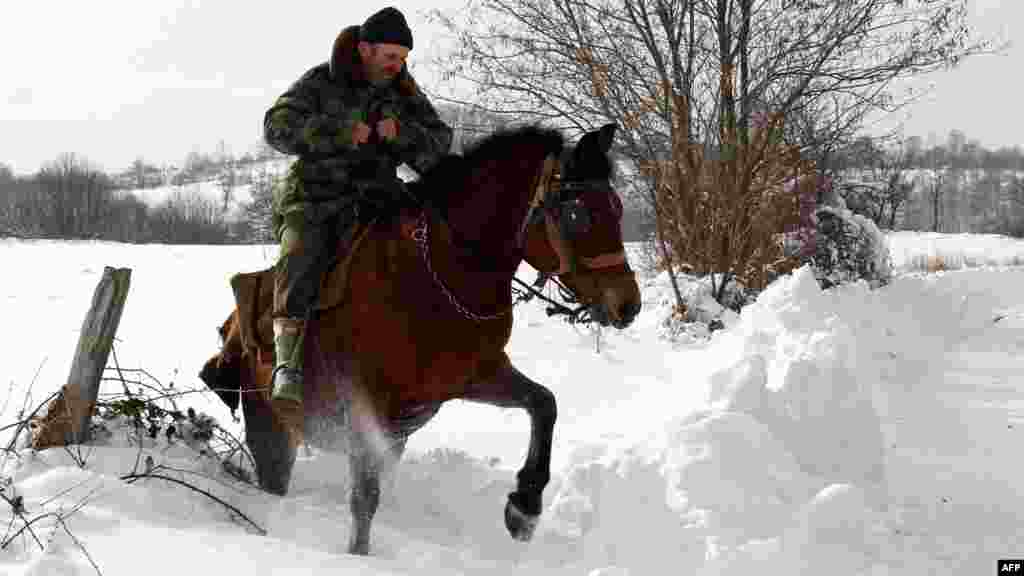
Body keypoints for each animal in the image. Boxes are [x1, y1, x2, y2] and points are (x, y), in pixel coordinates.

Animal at [199, 123, 638, 553]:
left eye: (616, 208)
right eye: (577, 213)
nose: (627, 305)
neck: (440, 275)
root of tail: (233, 330)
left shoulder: (472, 376)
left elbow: (544, 404)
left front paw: (524, 507)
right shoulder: (367, 405)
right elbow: (364, 499)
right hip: (272, 430)